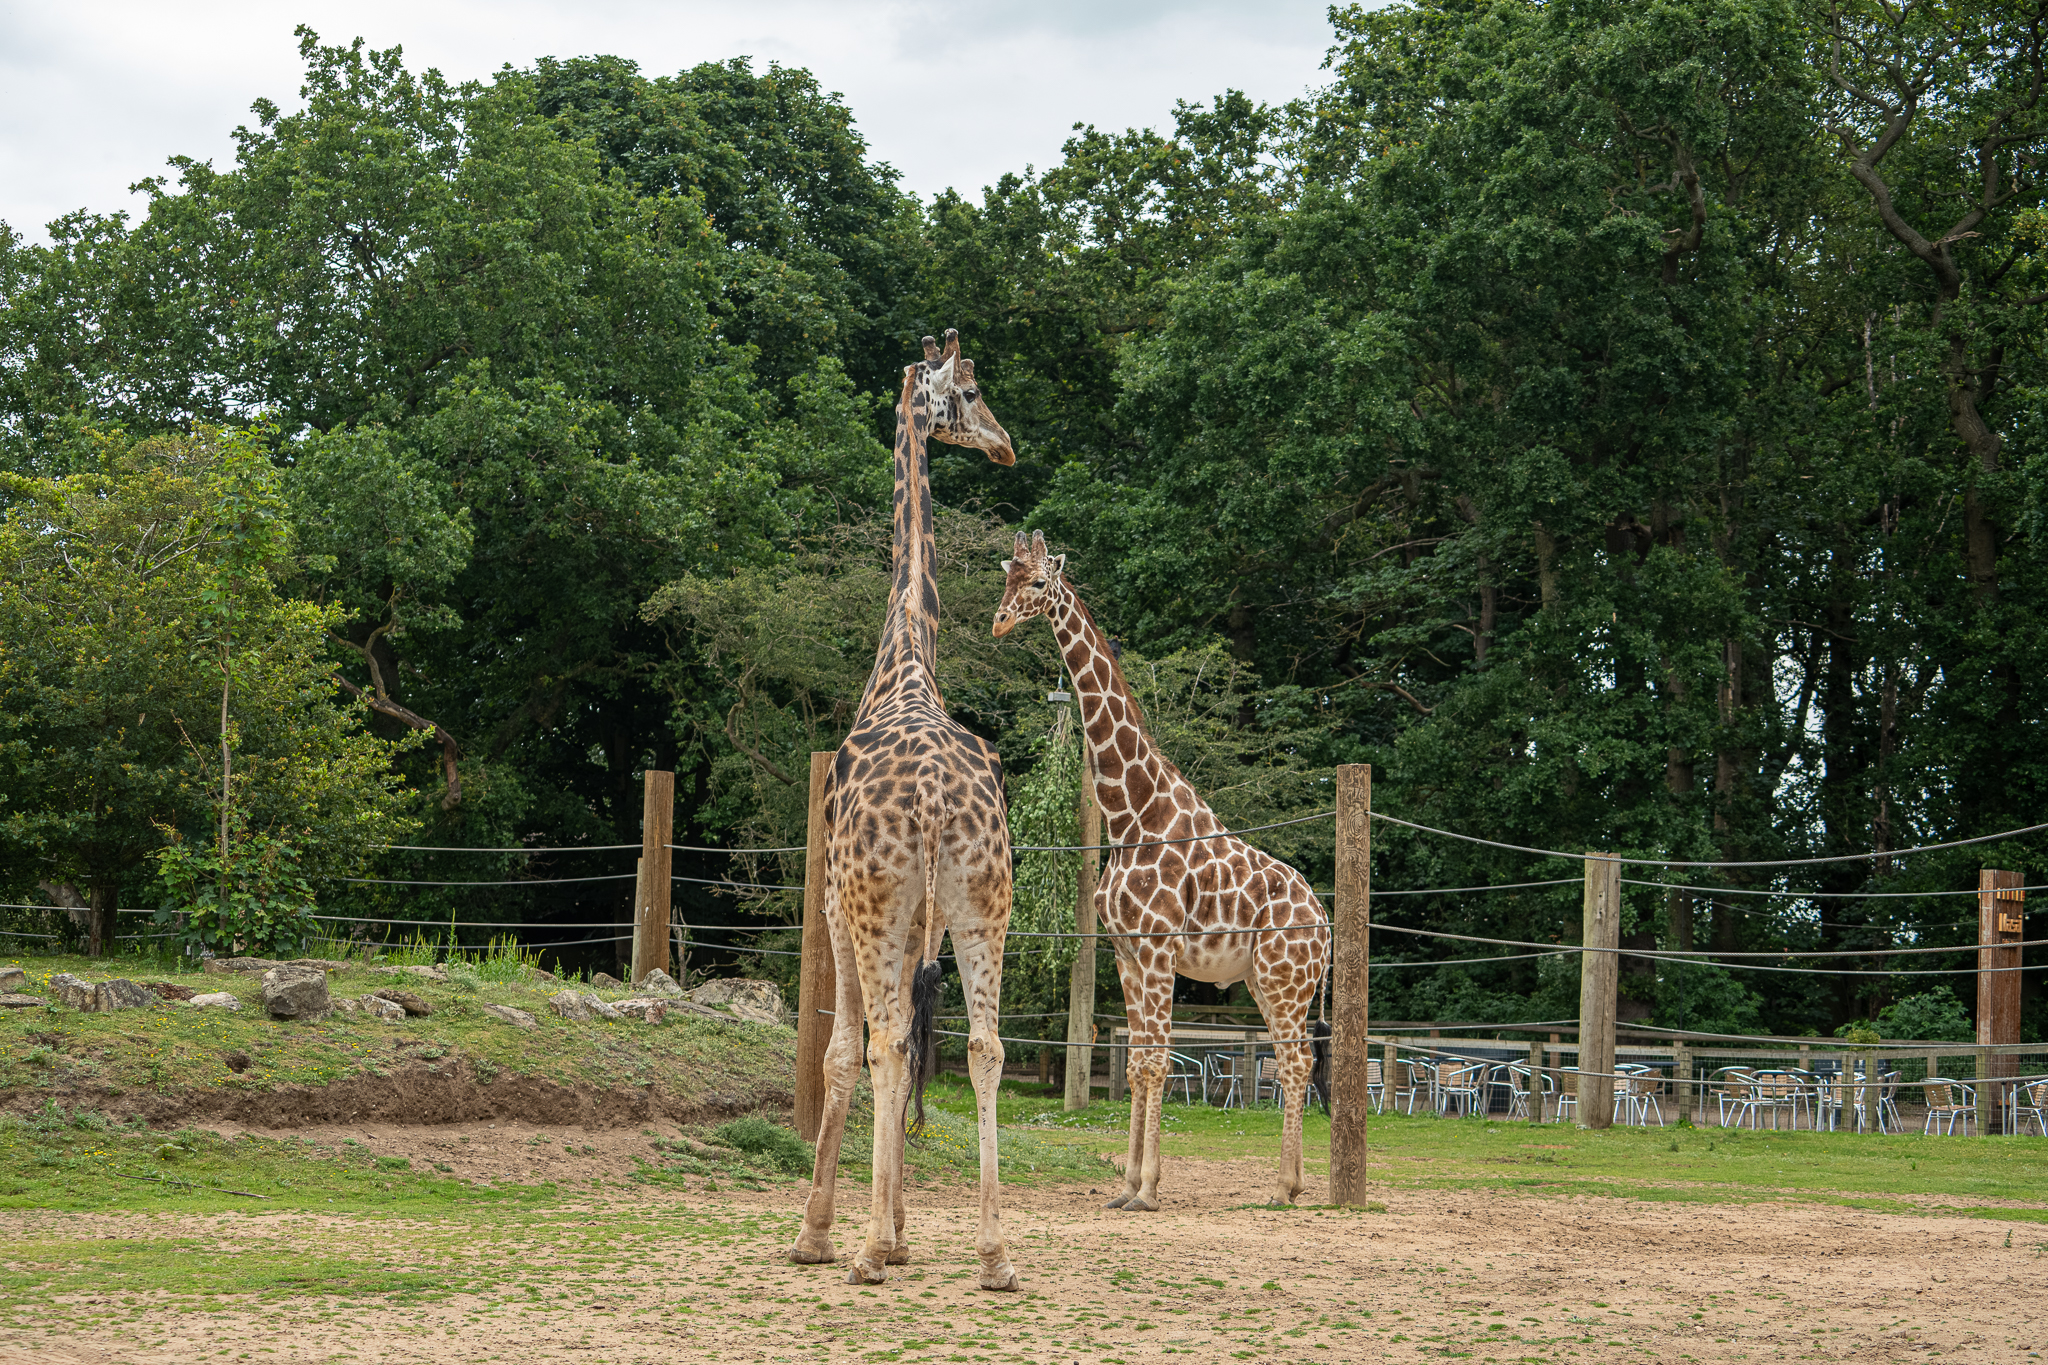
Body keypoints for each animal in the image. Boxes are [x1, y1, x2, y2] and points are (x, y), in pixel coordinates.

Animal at [992, 532, 1330, 1209]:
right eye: (1006, 576)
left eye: (1038, 583)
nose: (1001, 621)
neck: (1132, 816)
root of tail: (1327, 923)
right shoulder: (1126, 953)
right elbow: (1138, 1059)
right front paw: (1125, 1185)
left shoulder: (1156, 949)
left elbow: (1156, 1061)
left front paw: (1148, 1190)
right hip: (1266, 982)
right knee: (1293, 1061)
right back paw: (1292, 1183)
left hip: (1286, 981)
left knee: (1296, 1062)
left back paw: (1284, 1187)